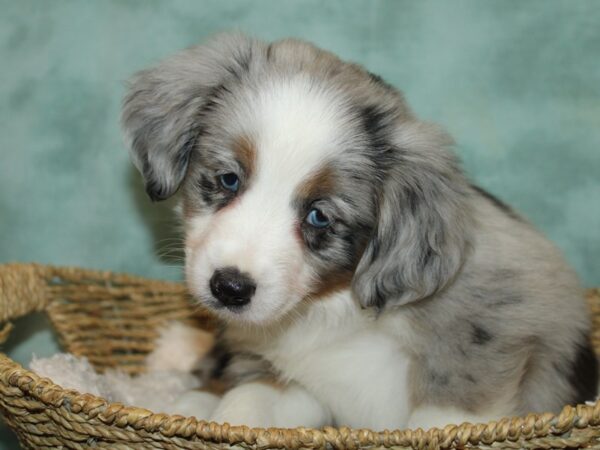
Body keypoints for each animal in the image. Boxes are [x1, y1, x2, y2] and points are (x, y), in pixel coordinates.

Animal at [120, 32, 596, 428]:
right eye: (229, 179)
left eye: (319, 216)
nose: (230, 288)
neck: (334, 307)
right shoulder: (294, 381)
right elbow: (245, 404)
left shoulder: (483, 348)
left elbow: (442, 420)